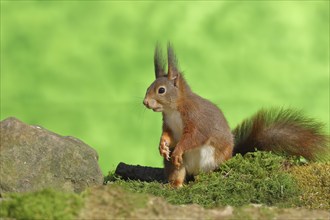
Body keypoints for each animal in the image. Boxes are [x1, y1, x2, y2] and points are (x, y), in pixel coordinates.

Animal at [144, 43, 330, 187]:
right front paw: (162, 145)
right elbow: (168, 135)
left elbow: (193, 137)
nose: (145, 102)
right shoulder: (168, 124)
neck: (174, 109)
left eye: (161, 90)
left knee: (206, 173)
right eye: (148, 87)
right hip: (177, 167)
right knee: (178, 174)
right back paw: (175, 185)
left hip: (213, 160)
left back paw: (205, 178)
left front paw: (178, 150)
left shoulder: (197, 120)